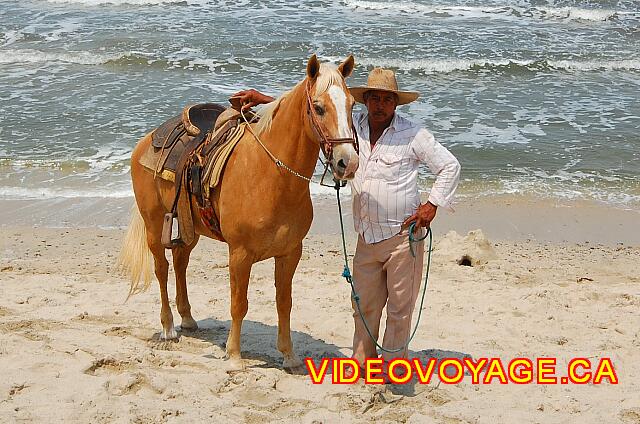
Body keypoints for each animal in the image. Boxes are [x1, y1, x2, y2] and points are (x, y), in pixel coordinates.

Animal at [120, 54, 360, 372]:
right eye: (319, 108)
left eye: (352, 105)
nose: (348, 162)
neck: (271, 176)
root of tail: (147, 140)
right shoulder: (240, 254)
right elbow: (239, 303)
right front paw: (234, 355)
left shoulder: (290, 252)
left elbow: (284, 302)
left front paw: (289, 355)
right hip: (153, 224)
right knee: (162, 269)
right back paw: (168, 327)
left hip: (190, 228)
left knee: (181, 263)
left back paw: (187, 318)